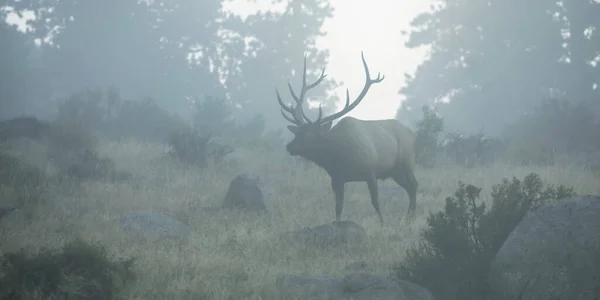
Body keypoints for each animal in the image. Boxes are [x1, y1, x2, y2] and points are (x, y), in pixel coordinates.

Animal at [276, 52, 418, 225]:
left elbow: (376, 202)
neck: (339, 157)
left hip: (406, 163)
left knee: (414, 185)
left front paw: (382, 223)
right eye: (296, 133)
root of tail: (412, 134)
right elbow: (338, 206)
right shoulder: (337, 178)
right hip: (395, 171)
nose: (289, 147)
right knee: (410, 187)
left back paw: (411, 217)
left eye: (309, 134)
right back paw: (409, 217)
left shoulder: (370, 171)